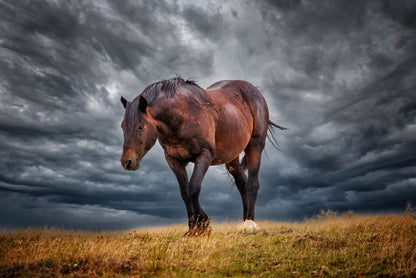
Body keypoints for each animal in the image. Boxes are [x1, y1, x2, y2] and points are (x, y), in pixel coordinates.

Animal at [118, 76, 284, 235]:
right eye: (122, 126)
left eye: (141, 126)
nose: (127, 162)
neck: (182, 115)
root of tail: (255, 91)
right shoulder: (174, 161)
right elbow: (185, 193)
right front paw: (193, 229)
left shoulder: (204, 155)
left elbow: (193, 188)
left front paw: (203, 224)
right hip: (232, 157)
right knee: (242, 184)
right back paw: (244, 222)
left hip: (255, 146)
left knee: (252, 184)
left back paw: (250, 224)